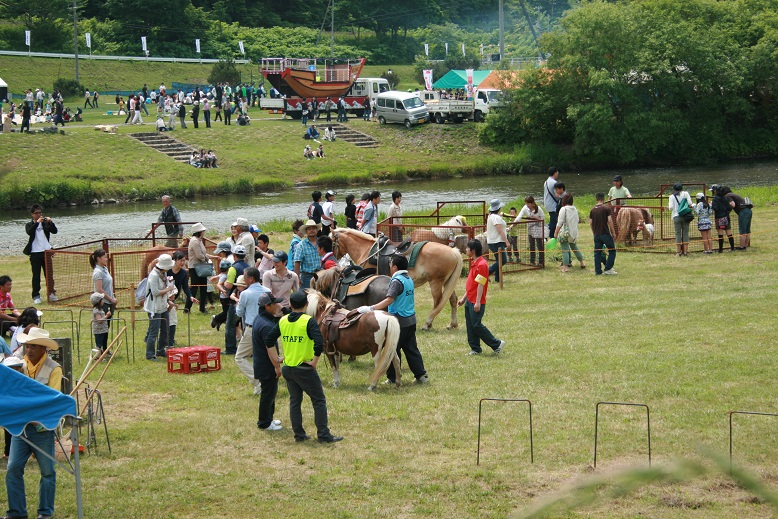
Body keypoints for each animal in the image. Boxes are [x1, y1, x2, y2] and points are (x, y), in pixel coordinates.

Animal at [328, 228, 460, 330]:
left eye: (331, 242)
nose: (334, 259)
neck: (365, 250)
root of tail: (452, 251)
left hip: (435, 282)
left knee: (438, 302)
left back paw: (427, 324)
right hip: (446, 282)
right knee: (452, 300)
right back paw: (452, 324)